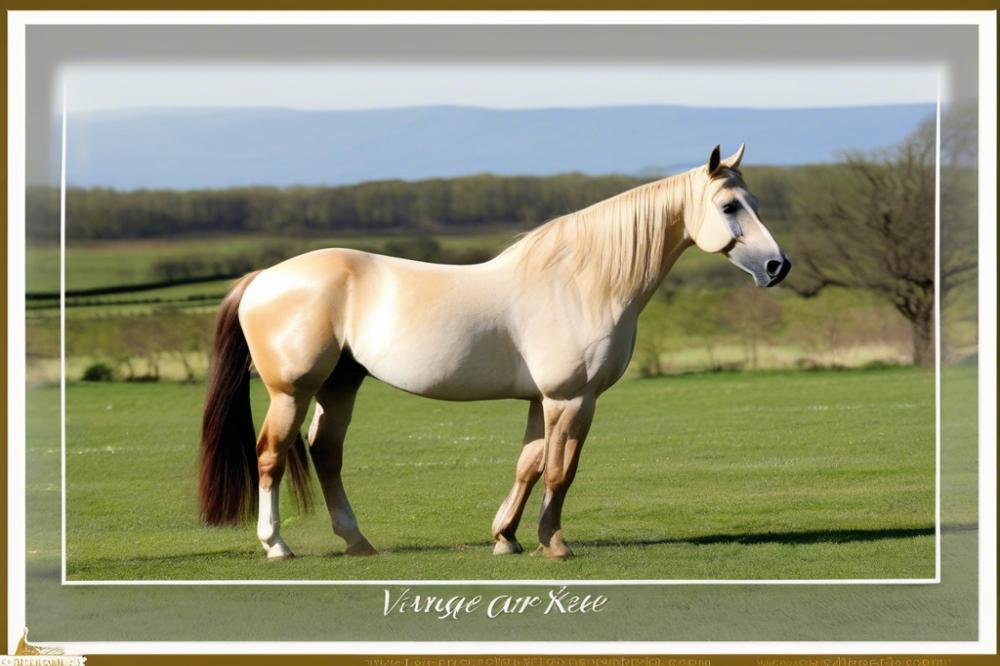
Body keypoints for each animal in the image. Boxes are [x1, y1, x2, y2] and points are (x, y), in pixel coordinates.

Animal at [195, 145, 788, 560]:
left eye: (755, 203)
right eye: (729, 206)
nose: (777, 266)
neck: (582, 282)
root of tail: (264, 277)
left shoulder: (541, 400)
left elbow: (528, 465)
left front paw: (506, 537)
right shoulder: (572, 399)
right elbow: (560, 471)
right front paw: (554, 543)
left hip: (342, 383)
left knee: (326, 454)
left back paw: (357, 542)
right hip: (292, 390)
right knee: (271, 455)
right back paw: (276, 545)